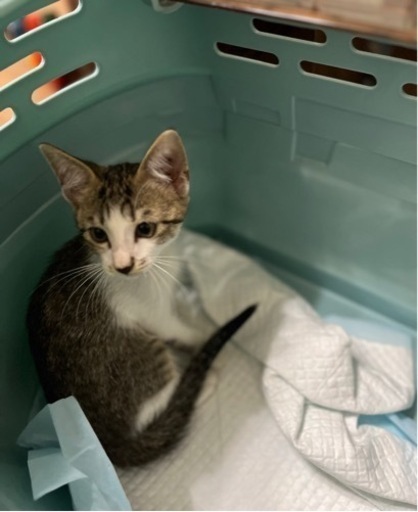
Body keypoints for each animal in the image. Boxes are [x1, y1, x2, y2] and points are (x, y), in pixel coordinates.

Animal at [26, 129, 256, 467]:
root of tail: (106, 444)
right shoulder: (152, 314)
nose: (123, 265)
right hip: (140, 354)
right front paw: (203, 336)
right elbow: (181, 329)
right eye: (98, 234)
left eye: (145, 228)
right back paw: (204, 380)